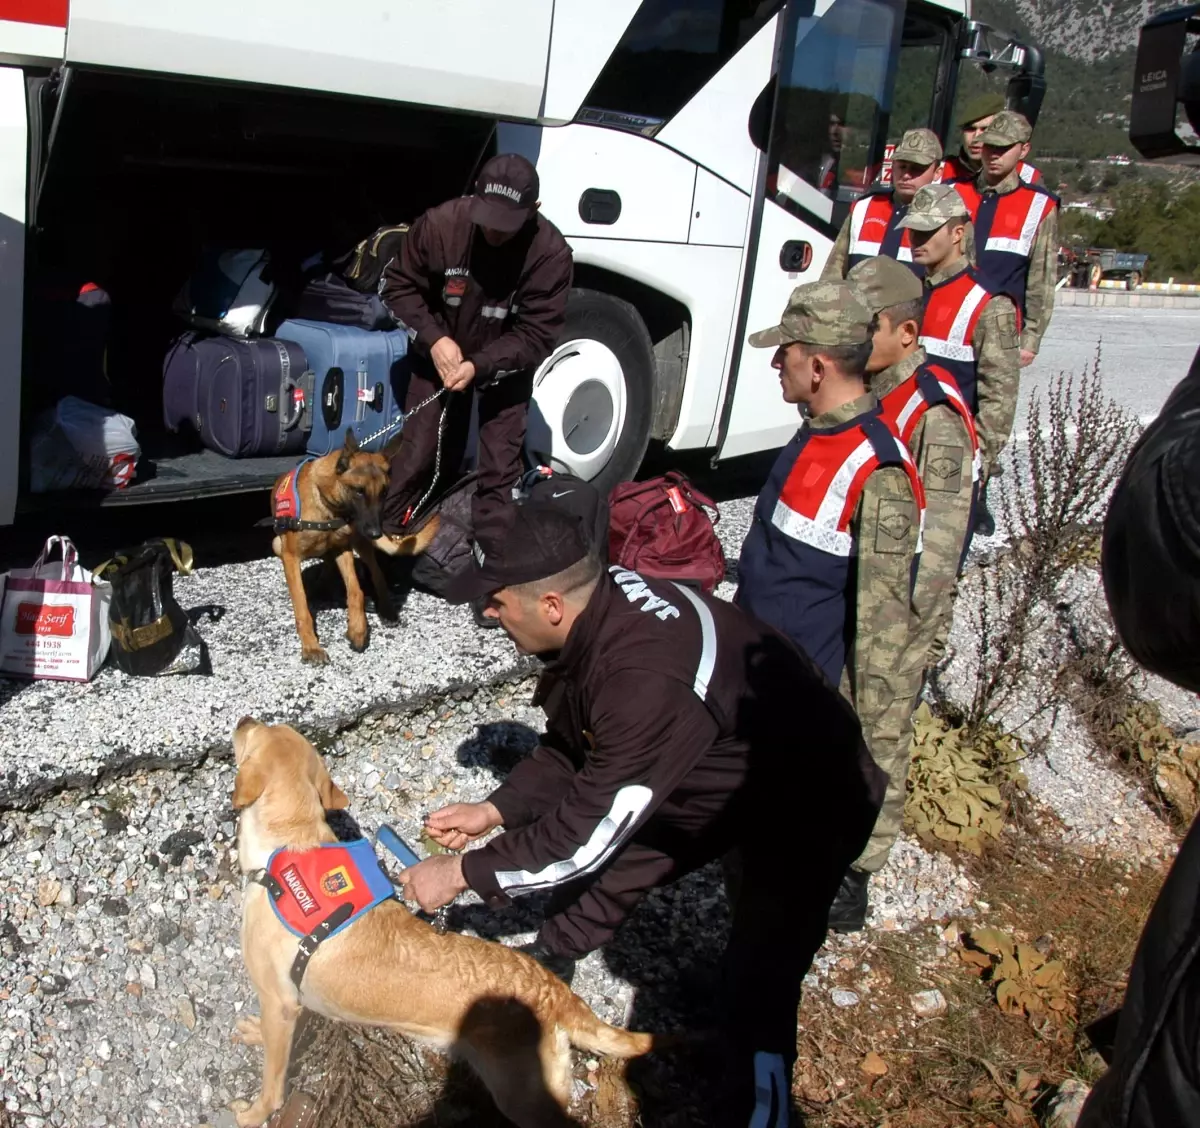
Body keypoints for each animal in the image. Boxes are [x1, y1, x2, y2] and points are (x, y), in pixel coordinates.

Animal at [229, 720, 662, 1123]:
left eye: (257, 730)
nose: (245, 719)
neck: (291, 842)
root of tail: (554, 992)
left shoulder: (279, 1002)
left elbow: (273, 1082)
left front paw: (255, 1113)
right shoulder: (291, 1000)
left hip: (524, 1095)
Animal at [272, 429, 441, 662]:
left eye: (384, 492)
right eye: (359, 491)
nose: (376, 532)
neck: (328, 508)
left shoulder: (343, 549)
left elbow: (356, 591)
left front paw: (358, 629)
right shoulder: (290, 557)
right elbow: (302, 606)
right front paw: (311, 646)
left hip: (359, 544)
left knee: (376, 574)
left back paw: (385, 609)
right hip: (278, 545)